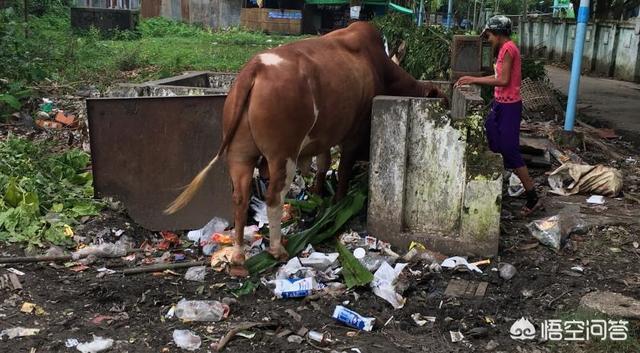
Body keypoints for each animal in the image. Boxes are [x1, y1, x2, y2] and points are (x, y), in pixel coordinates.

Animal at [165, 21, 444, 276]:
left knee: (240, 198)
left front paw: (319, 195)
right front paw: (339, 204)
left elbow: (322, 164)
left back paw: (238, 256)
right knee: (274, 197)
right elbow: (343, 169)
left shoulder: (324, 137)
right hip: (283, 154)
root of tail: (254, 69)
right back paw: (276, 249)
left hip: (239, 154)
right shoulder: (353, 135)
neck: (380, 68)